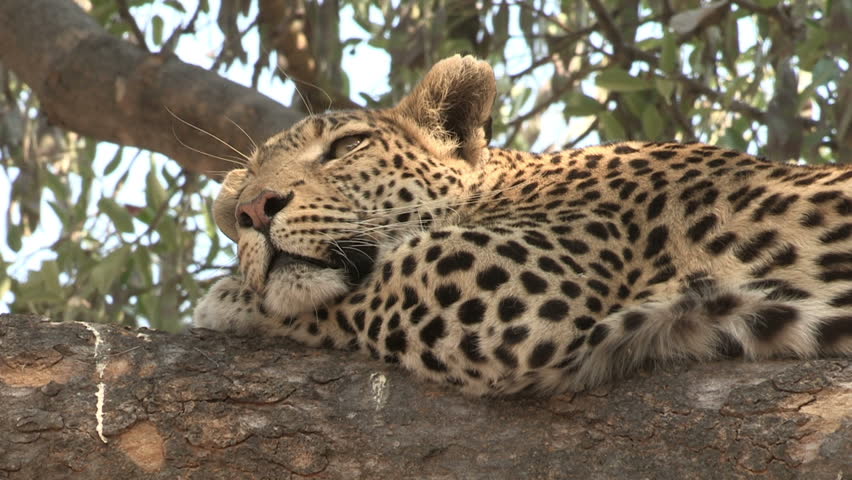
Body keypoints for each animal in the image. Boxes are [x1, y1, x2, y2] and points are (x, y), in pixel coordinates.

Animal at [193, 54, 852, 396]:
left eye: (346, 147)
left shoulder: (527, 279)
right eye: (249, 183)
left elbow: (379, 281)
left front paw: (229, 299)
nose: (253, 210)